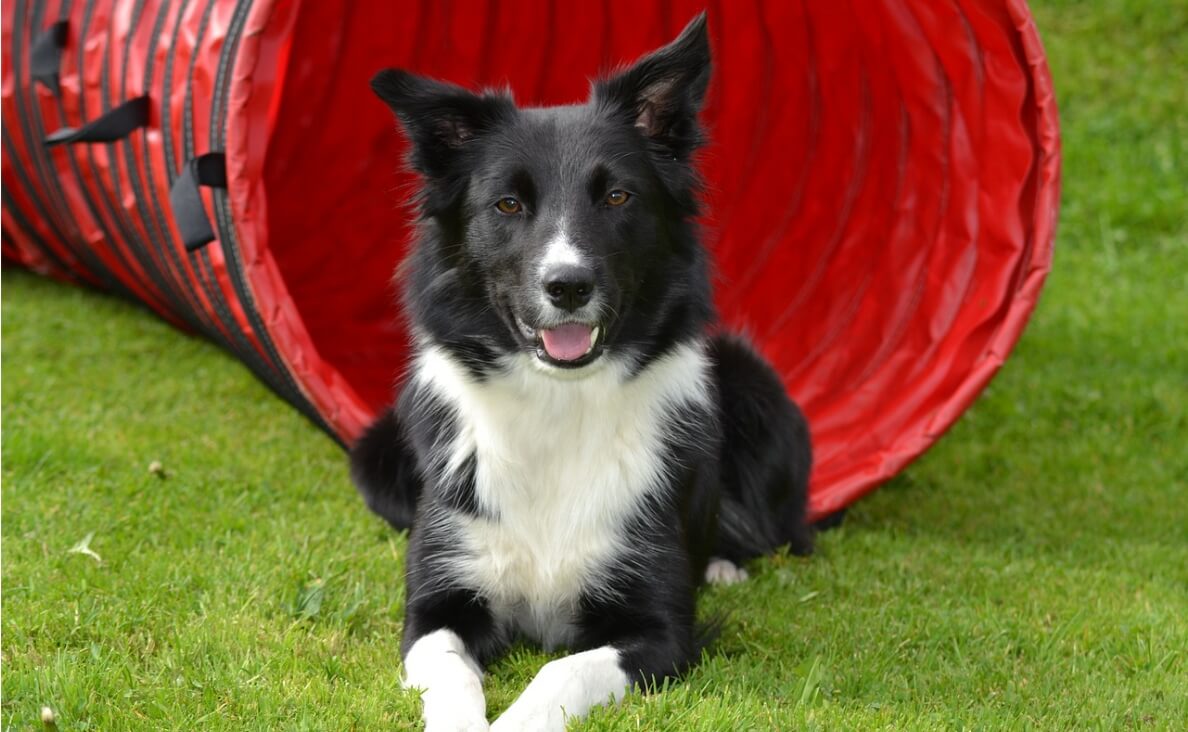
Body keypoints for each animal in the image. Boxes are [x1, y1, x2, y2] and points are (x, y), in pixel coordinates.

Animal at [351, 12, 812, 732]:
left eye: (618, 196)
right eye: (507, 205)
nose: (567, 286)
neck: (555, 403)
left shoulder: (656, 627)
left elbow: (559, 672)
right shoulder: (435, 606)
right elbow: (452, 673)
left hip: (757, 394)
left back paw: (725, 563)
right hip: (376, 459)